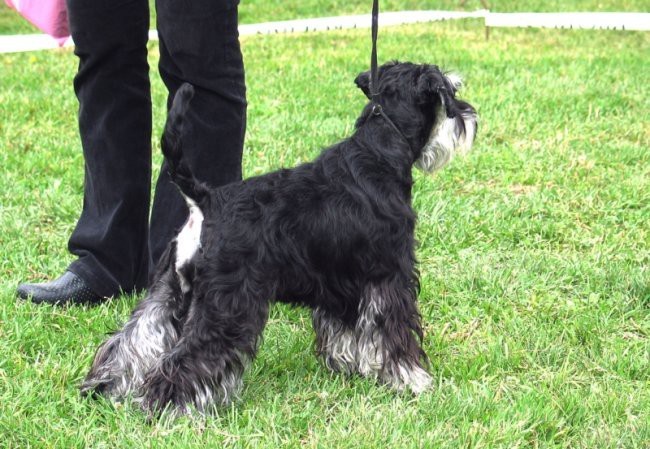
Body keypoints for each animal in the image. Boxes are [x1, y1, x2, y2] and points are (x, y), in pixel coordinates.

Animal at [81, 61, 476, 414]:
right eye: (451, 92)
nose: (471, 117)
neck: (378, 153)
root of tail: (205, 200)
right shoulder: (390, 277)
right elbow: (394, 336)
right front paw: (412, 380)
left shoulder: (343, 283)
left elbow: (346, 333)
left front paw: (351, 367)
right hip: (227, 304)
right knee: (189, 356)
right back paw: (168, 406)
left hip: (168, 290)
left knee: (135, 337)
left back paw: (106, 386)